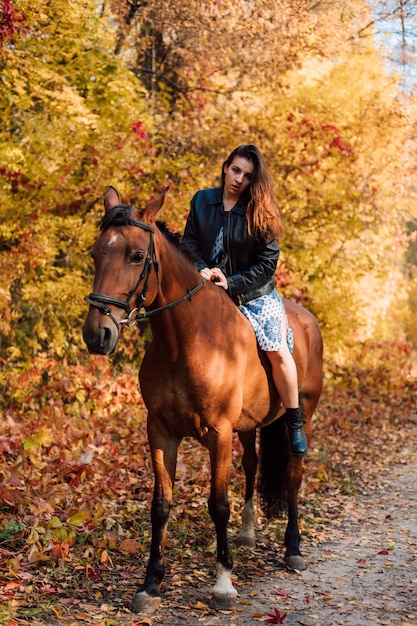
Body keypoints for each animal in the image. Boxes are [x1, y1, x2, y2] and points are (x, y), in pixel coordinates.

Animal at [81, 185, 322, 608]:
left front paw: (223, 583)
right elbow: (160, 505)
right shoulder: (161, 431)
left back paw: (293, 550)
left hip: (300, 414)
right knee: (252, 465)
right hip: (249, 424)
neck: (187, 341)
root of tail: (307, 318)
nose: (97, 335)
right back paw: (248, 535)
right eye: (96, 253)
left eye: (137, 256)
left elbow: (218, 504)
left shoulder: (218, 433)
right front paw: (150, 583)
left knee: (293, 475)